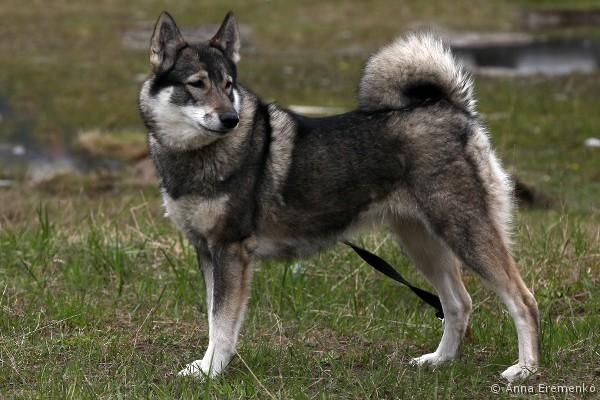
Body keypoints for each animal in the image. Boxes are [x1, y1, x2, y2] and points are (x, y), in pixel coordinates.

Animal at [138, 11, 540, 382]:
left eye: (227, 84)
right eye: (196, 84)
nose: (230, 119)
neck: (197, 156)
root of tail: (453, 109)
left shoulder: (231, 250)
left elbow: (222, 323)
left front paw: (211, 372)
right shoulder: (206, 251)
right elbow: (213, 318)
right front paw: (204, 367)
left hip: (464, 233)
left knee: (523, 300)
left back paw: (525, 369)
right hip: (423, 242)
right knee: (458, 303)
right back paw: (439, 361)